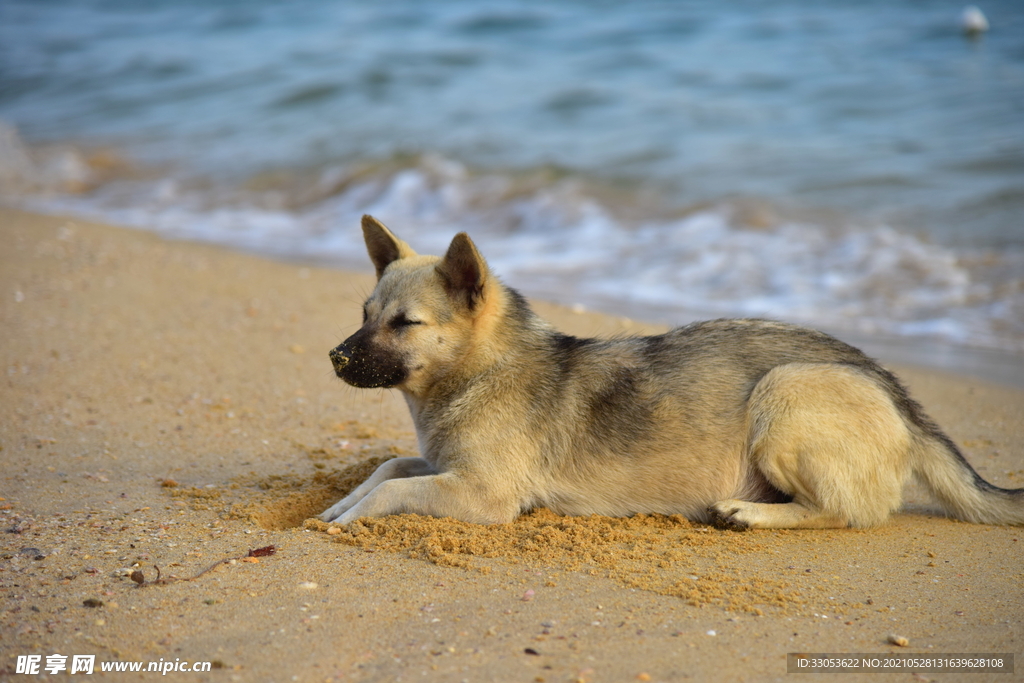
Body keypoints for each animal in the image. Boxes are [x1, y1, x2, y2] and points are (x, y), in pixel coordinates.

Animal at [315, 214, 1019, 528]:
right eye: (365, 314)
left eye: (405, 323)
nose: (335, 357)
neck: (480, 374)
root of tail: (900, 396)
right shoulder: (440, 466)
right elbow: (388, 469)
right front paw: (338, 504)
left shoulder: (480, 495)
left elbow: (391, 490)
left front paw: (351, 515)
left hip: (784, 393)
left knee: (845, 513)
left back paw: (751, 515)